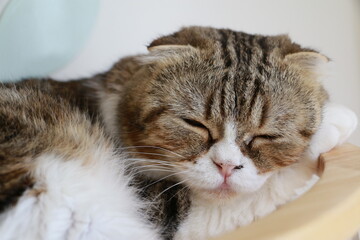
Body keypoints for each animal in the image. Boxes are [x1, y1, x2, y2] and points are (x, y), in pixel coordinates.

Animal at [0, 26, 358, 240]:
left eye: (265, 135)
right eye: (195, 124)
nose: (226, 167)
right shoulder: (169, 210)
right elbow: (265, 191)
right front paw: (334, 121)